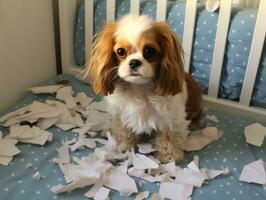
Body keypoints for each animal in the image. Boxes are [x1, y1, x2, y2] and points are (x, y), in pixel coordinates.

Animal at [86, 15, 203, 162]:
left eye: (149, 51)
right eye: (120, 51)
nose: (134, 62)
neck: (139, 88)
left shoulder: (173, 119)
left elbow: (169, 138)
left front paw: (168, 157)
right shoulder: (121, 114)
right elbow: (124, 131)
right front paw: (125, 146)